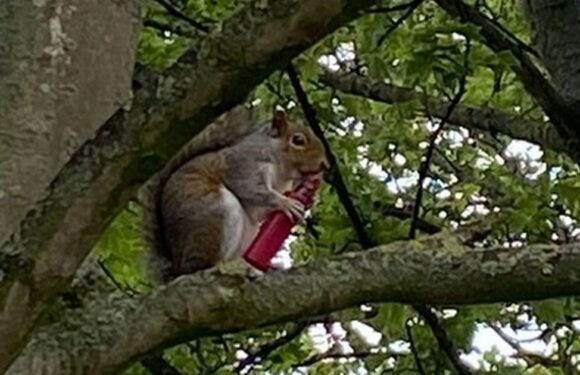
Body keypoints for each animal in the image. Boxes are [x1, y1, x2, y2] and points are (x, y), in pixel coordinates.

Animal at [143, 105, 328, 282]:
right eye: (298, 140)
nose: (325, 165)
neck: (282, 171)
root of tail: (176, 265)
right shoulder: (243, 166)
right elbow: (251, 189)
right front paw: (286, 203)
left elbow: (261, 211)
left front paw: (309, 199)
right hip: (213, 214)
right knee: (202, 265)